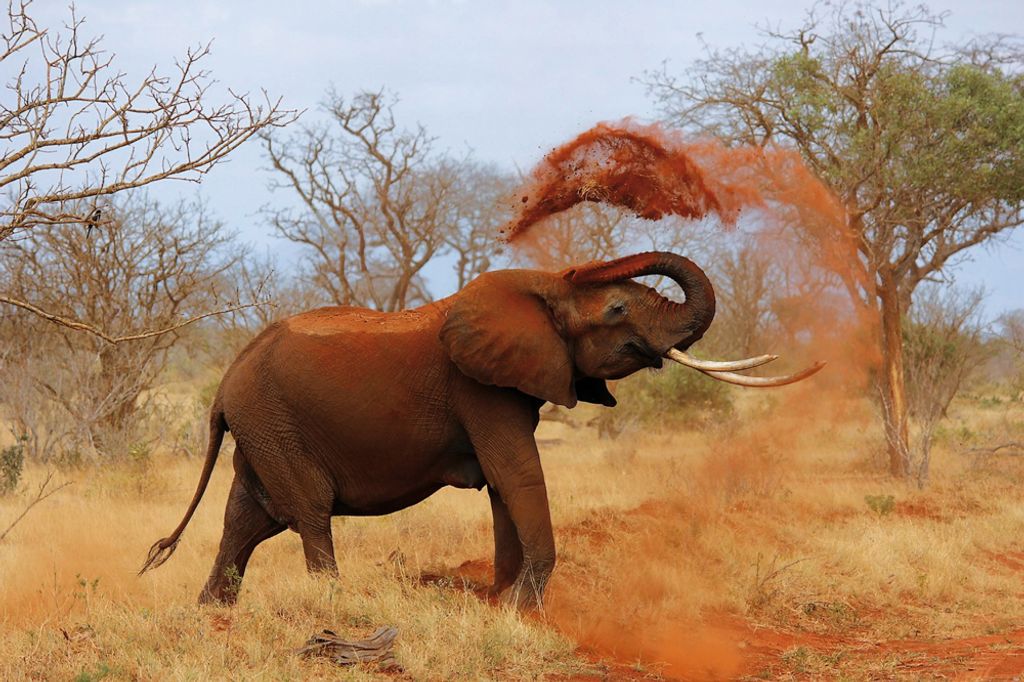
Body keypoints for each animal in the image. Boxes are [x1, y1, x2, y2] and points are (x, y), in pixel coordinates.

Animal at [141, 251, 818, 607]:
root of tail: (225, 382)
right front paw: (521, 607)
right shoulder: (480, 389)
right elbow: (517, 474)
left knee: (248, 517)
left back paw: (213, 615)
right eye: (619, 308)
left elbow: (503, 486)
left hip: (262, 428)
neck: (542, 288)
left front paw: (501, 600)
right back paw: (334, 604)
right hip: (274, 423)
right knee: (305, 510)